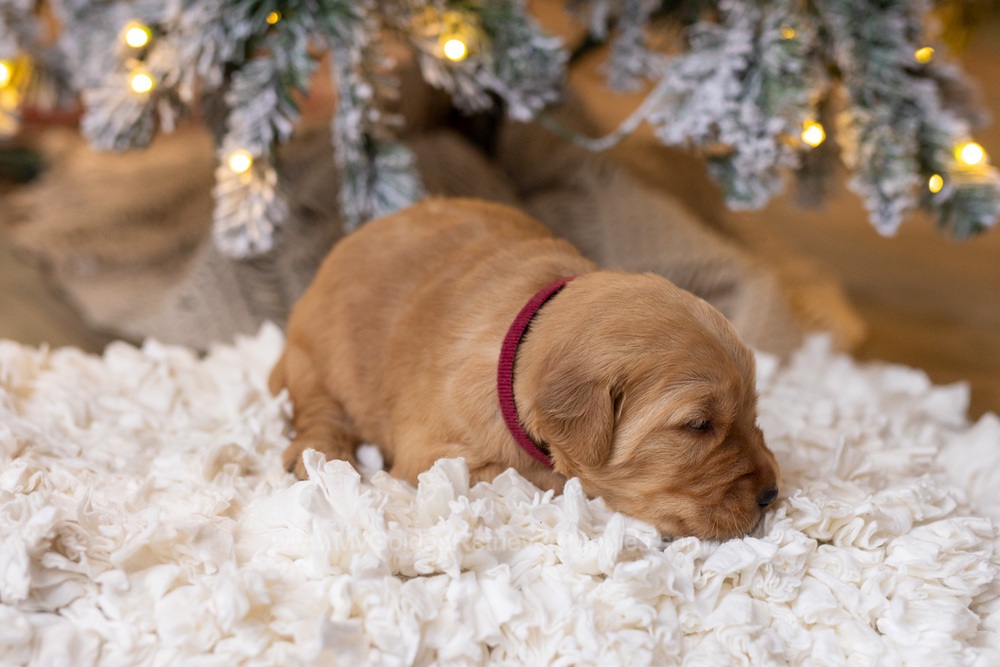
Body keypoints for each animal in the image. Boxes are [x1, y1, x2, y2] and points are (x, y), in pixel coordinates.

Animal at [270, 198, 780, 540]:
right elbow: (553, 477)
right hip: (317, 360)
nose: (772, 494)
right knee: (318, 410)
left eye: (753, 409)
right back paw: (317, 456)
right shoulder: (436, 460)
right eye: (698, 425)